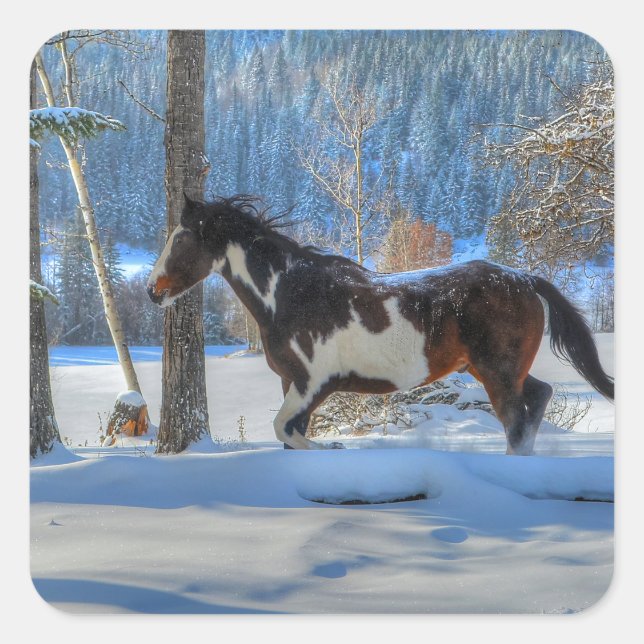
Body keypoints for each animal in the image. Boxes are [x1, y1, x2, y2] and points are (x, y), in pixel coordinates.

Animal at [148, 194, 614, 455]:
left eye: (181, 238)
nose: (153, 290)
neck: (290, 294)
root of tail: (525, 279)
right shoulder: (291, 383)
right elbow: (288, 436)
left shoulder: (314, 383)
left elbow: (287, 430)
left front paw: (332, 446)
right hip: (492, 369)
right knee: (539, 396)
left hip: (498, 373)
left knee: (516, 424)